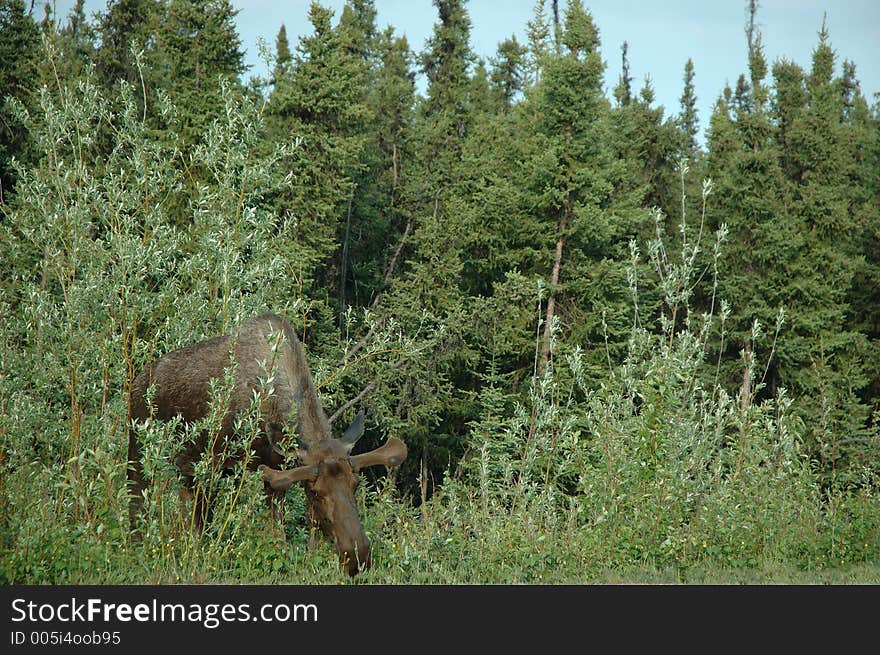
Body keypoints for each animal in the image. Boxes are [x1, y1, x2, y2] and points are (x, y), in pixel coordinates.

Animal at [125, 312, 408, 576]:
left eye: (355, 484)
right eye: (317, 492)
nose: (357, 557)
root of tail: (135, 383)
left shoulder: (278, 469)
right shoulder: (227, 464)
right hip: (141, 451)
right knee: (138, 503)